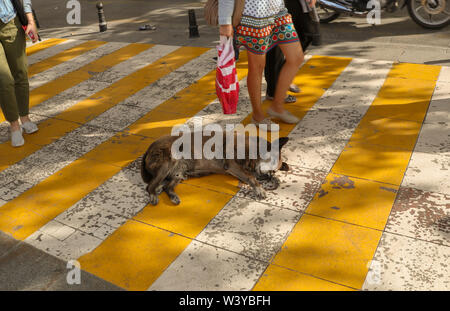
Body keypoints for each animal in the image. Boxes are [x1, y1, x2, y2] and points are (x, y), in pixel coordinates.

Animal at [140, 132, 292, 207]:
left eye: (275, 172)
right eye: (272, 162)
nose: (270, 176)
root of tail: (148, 150)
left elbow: (249, 175)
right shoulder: (232, 164)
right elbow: (251, 177)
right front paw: (259, 189)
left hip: (179, 172)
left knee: (167, 186)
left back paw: (172, 195)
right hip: (168, 162)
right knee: (149, 186)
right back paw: (153, 194)